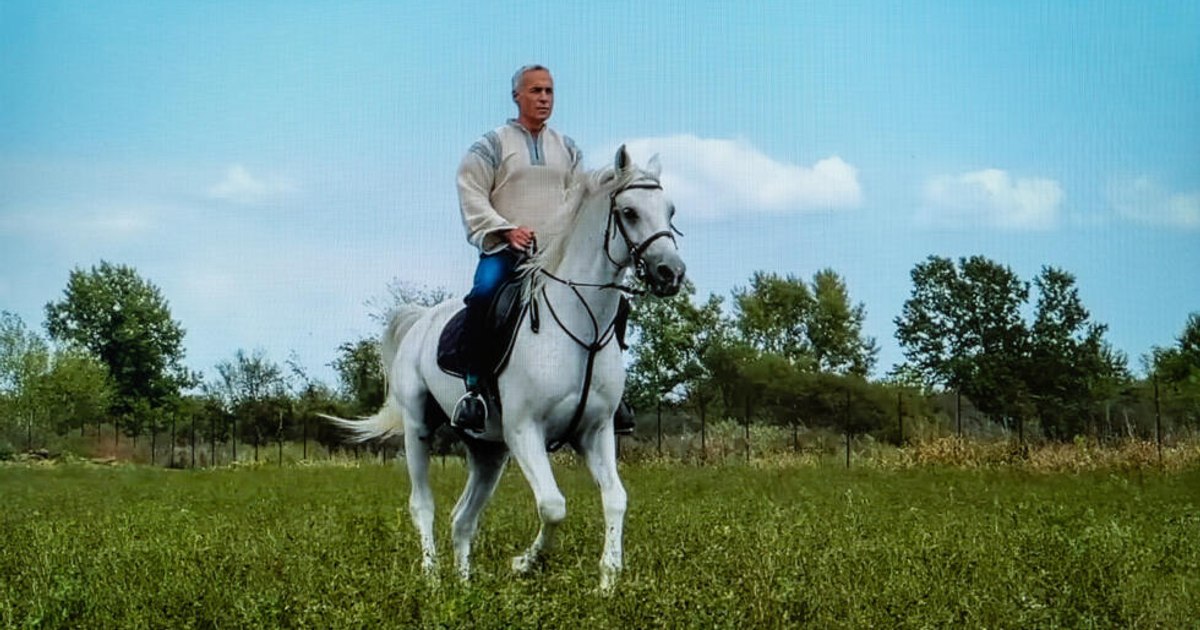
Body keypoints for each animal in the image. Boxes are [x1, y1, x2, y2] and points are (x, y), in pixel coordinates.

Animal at [324, 145, 685, 591]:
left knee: (462, 517)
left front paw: (607, 583)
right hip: (419, 428)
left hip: (488, 451)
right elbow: (553, 505)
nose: (672, 273)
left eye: (670, 210)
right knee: (423, 504)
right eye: (630, 212)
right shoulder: (524, 430)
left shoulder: (596, 432)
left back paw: (465, 587)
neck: (578, 329)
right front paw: (523, 563)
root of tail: (421, 319)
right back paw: (433, 580)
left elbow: (616, 499)